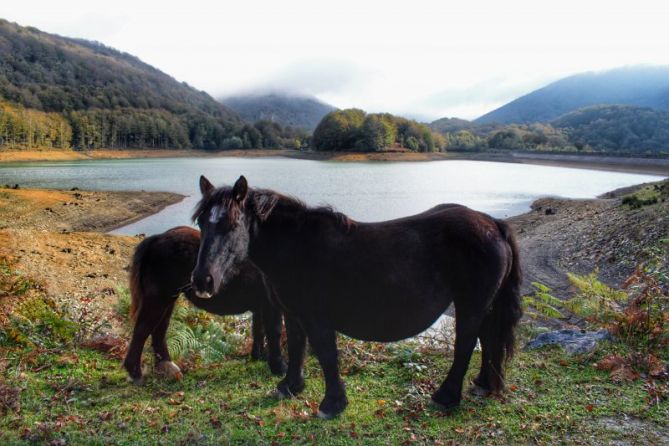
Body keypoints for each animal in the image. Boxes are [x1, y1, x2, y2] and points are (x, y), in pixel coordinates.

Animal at [122, 226, 284, 384]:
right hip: (158, 300)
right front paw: (279, 368)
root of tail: (157, 238)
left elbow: (258, 332)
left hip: (167, 300)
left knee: (159, 331)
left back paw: (167, 367)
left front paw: (260, 357)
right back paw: (136, 374)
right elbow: (271, 334)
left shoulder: (261, 307)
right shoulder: (270, 307)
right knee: (142, 331)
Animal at [190, 175, 520, 418]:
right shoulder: (294, 314)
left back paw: (446, 396)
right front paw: (290, 386)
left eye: (233, 224)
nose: (202, 280)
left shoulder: (317, 318)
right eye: (202, 223)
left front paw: (332, 404)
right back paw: (484, 385)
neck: (296, 248)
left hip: (470, 304)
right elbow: (296, 348)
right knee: (488, 339)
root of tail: (493, 223)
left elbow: (326, 356)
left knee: (466, 344)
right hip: (485, 305)